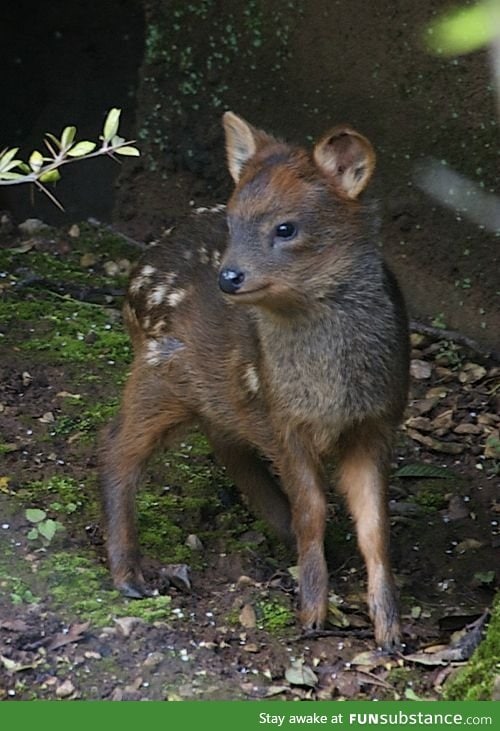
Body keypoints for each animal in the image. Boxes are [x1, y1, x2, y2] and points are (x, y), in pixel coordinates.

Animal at [99, 111, 408, 648]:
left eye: (286, 227)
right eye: (232, 220)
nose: (229, 276)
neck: (330, 391)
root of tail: (137, 272)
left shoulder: (377, 421)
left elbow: (375, 526)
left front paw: (389, 628)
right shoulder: (282, 417)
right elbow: (313, 510)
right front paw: (312, 614)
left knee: (225, 444)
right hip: (159, 369)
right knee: (117, 445)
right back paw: (130, 576)